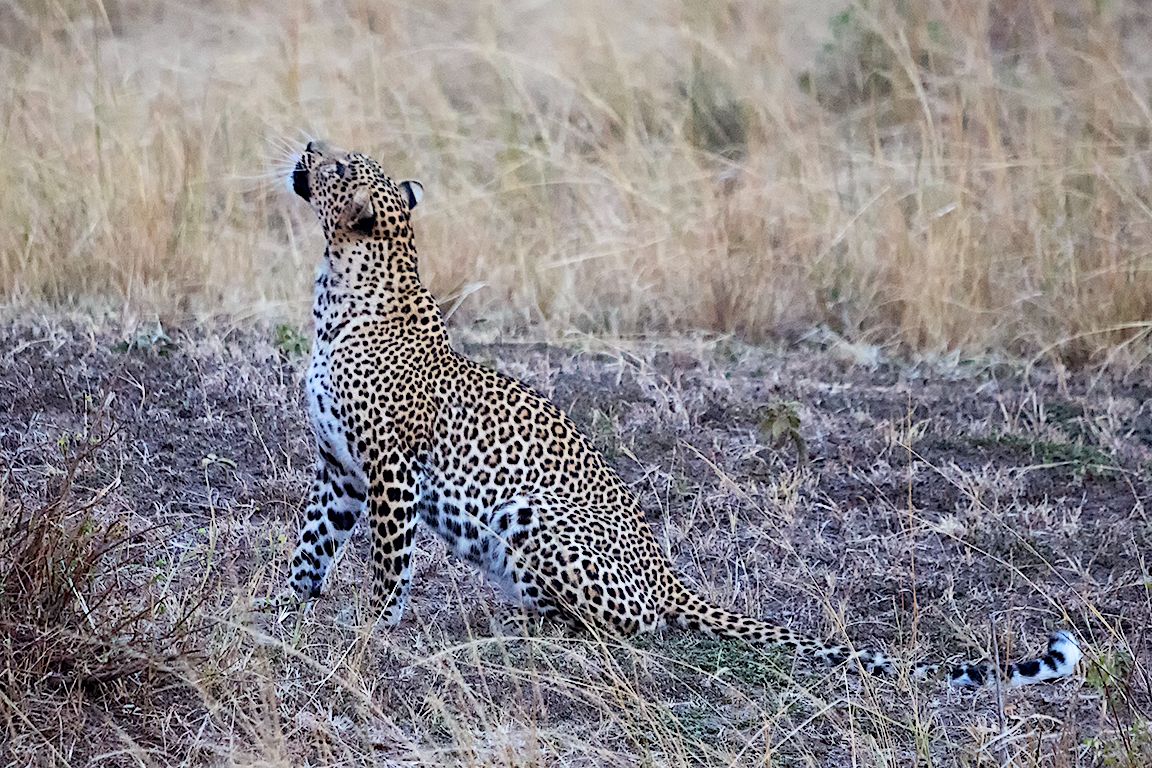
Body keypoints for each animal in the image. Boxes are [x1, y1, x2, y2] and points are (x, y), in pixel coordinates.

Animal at [284, 140, 1082, 688]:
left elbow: (388, 562)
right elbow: (311, 545)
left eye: (340, 166)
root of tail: (669, 577)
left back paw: (520, 632)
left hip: (531, 517)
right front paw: (286, 611)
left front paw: (371, 630)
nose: (309, 144)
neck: (337, 290)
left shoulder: (390, 469)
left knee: (621, 628)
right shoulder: (340, 469)